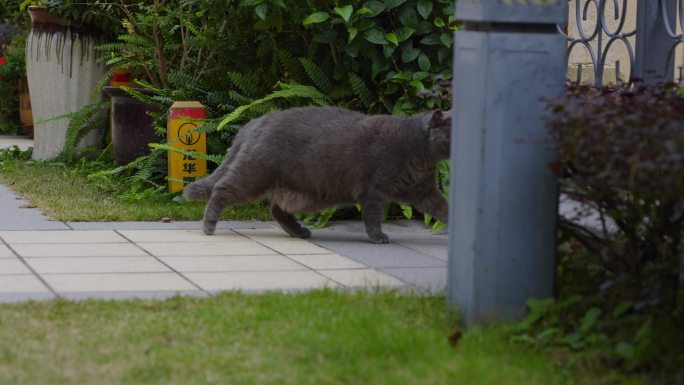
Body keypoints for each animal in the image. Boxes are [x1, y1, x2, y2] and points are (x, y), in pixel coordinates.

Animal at [183, 105, 448, 243]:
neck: (419, 151)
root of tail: (255, 122)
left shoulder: (425, 190)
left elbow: (443, 207)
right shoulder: (373, 192)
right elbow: (373, 218)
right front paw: (378, 237)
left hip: (301, 191)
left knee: (277, 209)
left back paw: (300, 232)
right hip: (254, 174)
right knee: (221, 190)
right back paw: (208, 226)